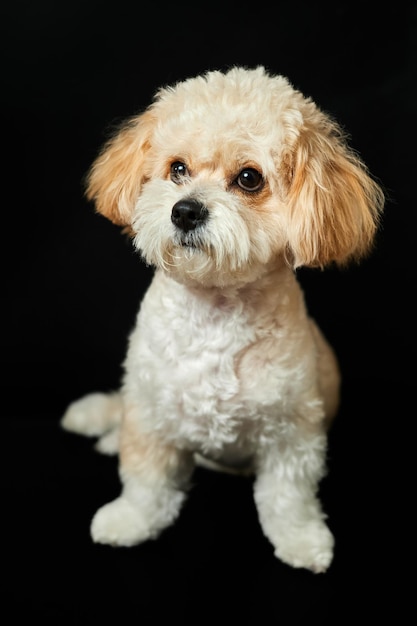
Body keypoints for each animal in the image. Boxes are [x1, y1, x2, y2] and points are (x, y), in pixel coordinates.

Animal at [61, 67, 384, 572]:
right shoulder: (151, 410)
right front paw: (130, 520)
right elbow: (146, 480)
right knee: (124, 413)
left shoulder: (292, 434)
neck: (214, 312)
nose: (185, 210)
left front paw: (302, 540)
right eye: (177, 168)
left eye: (249, 178)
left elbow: (288, 498)